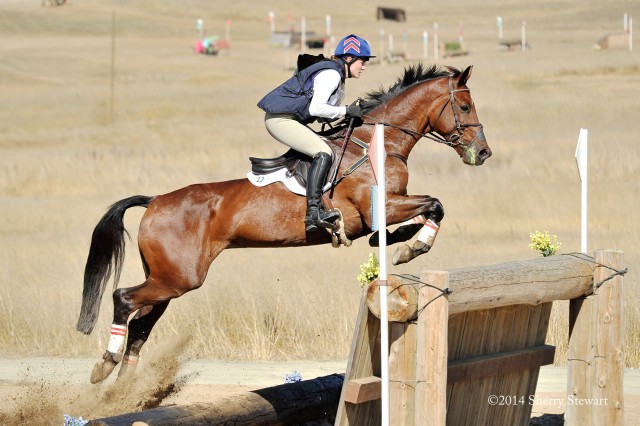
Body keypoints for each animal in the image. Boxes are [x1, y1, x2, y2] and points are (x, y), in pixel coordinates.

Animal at [77, 65, 492, 384]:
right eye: (465, 105)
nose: (483, 152)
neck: (379, 142)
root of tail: (156, 200)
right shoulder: (382, 207)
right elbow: (435, 205)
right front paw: (413, 247)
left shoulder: (390, 208)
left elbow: (421, 213)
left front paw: (401, 243)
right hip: (178, 277)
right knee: (123, 298)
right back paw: (106, 366)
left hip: (168, 279)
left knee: (141, 324)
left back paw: (123, 386)